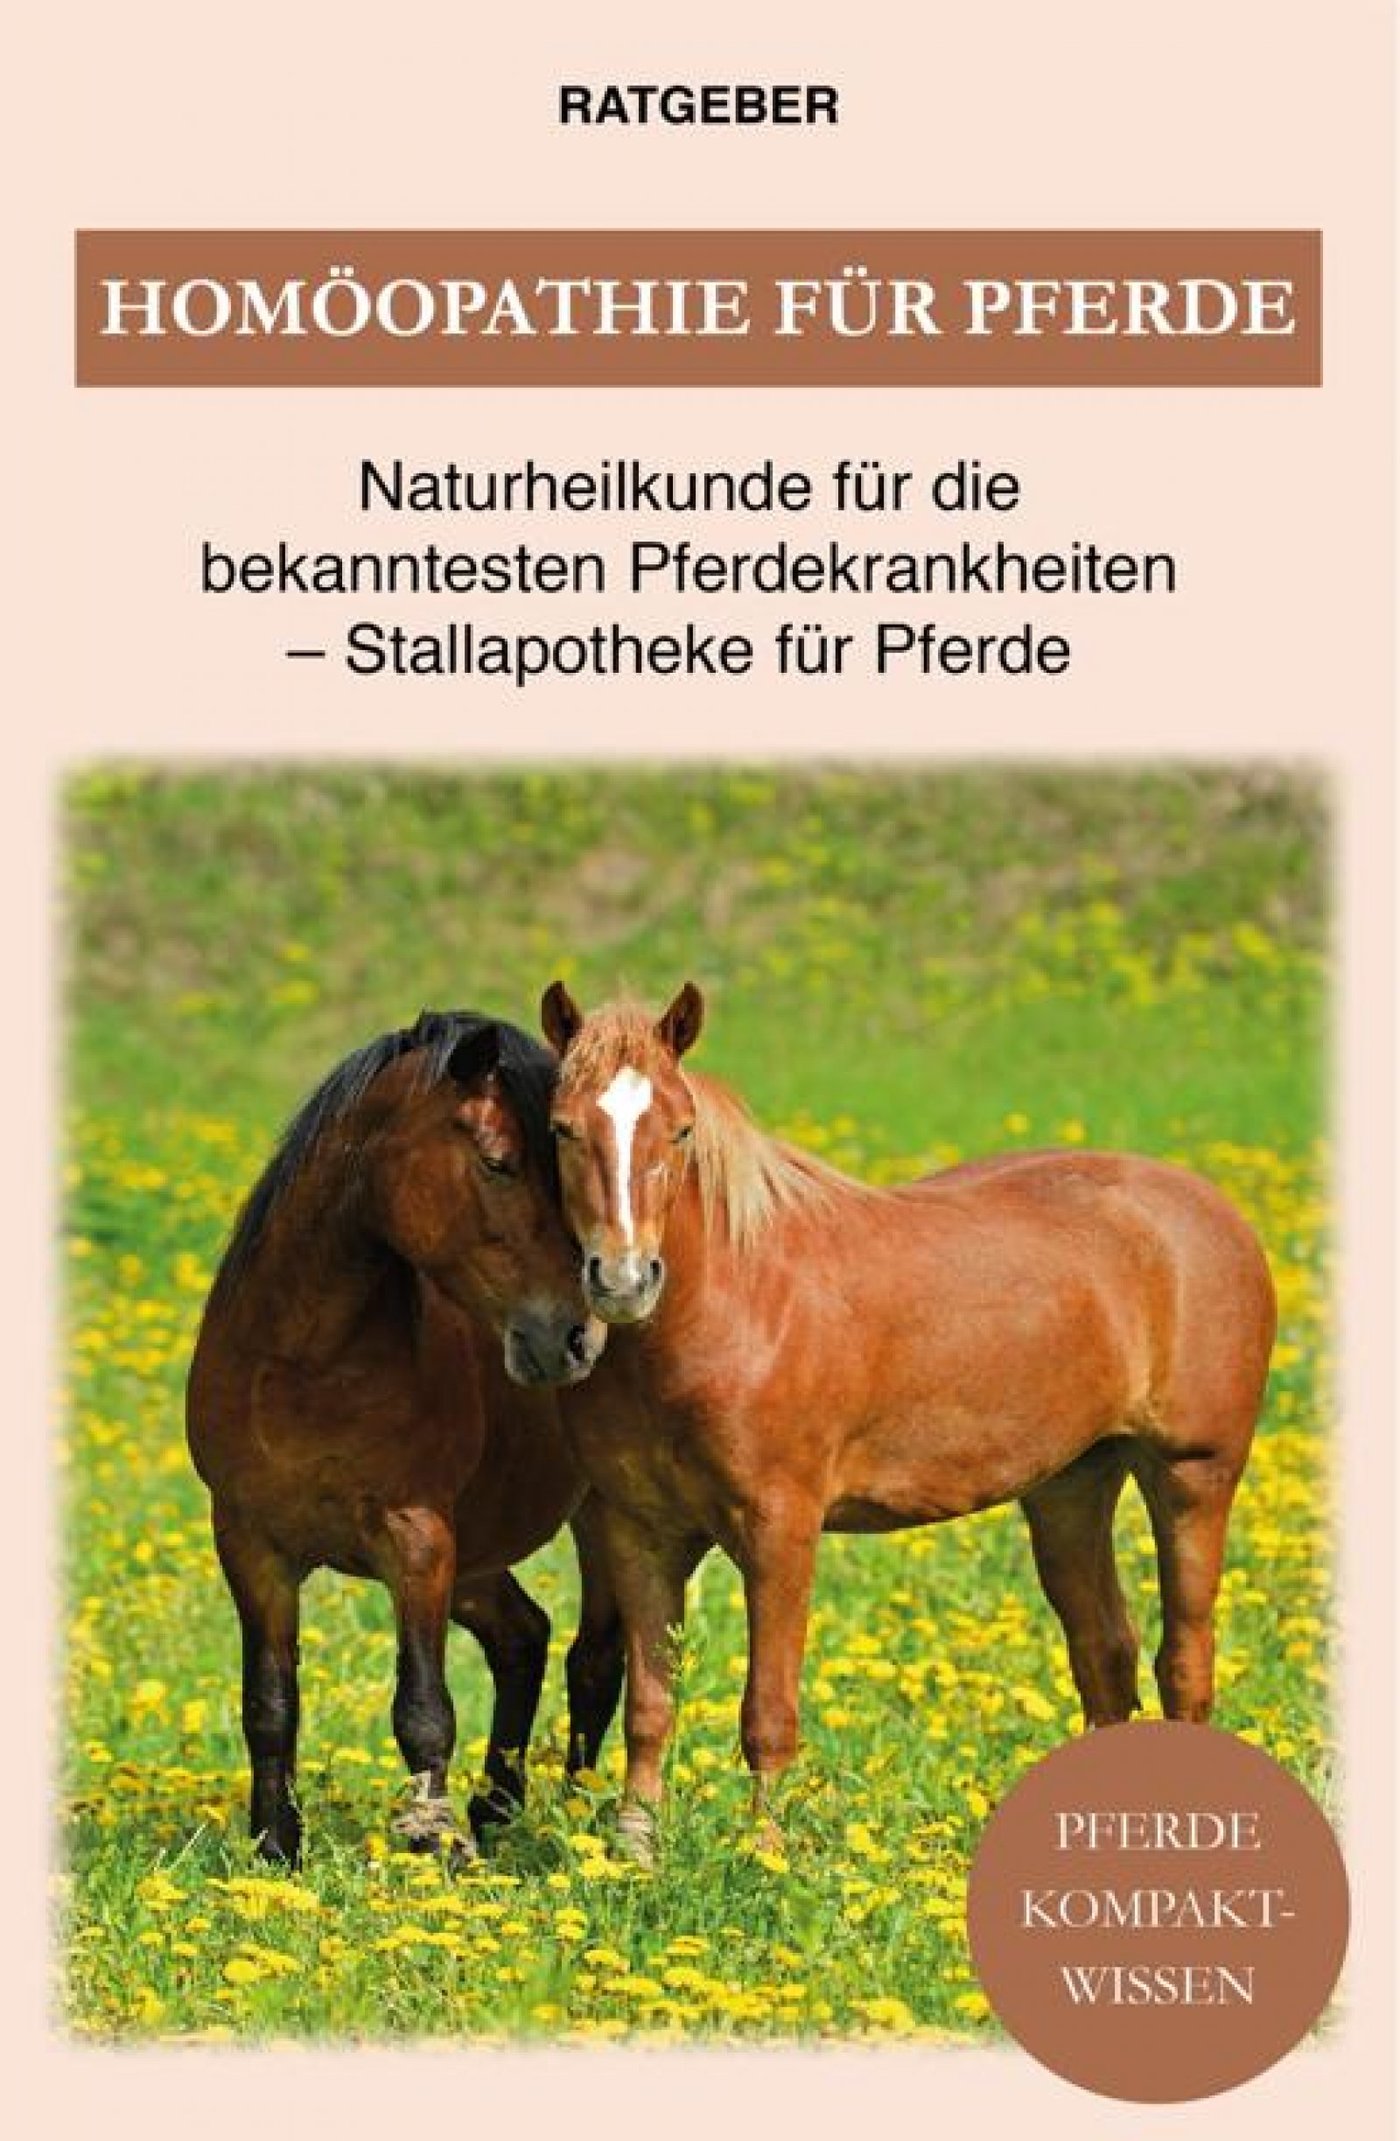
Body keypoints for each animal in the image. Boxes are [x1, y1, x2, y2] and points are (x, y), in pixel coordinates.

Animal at [187, 1009, 624, 1867]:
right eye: (497, 1162)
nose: (574, 1338)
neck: (304, 1363)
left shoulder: (417, 1540)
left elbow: (423, 1708)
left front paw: (433, 1849)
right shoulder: (250, 1543)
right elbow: (269, 1702)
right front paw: (276, 1850)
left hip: (598, 1517)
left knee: (595, 1658)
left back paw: (579, 1820)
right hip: (478, 1552)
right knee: (523, 1636)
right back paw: (494, 1810)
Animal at [538, 981, 1277, 1862]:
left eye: (679, 1129)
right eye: (562, 1127)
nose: (622, 1279)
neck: (734, 1306)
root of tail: (1213, 1211)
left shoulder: (779, 1531)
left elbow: (768, 1714)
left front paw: (765, 1853)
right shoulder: (639, 1532)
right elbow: (649, 1704)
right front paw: (633, 1853)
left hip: (1193, 1476)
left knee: (1184, 1662)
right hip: (1071, 1488)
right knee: (1106, 1654)